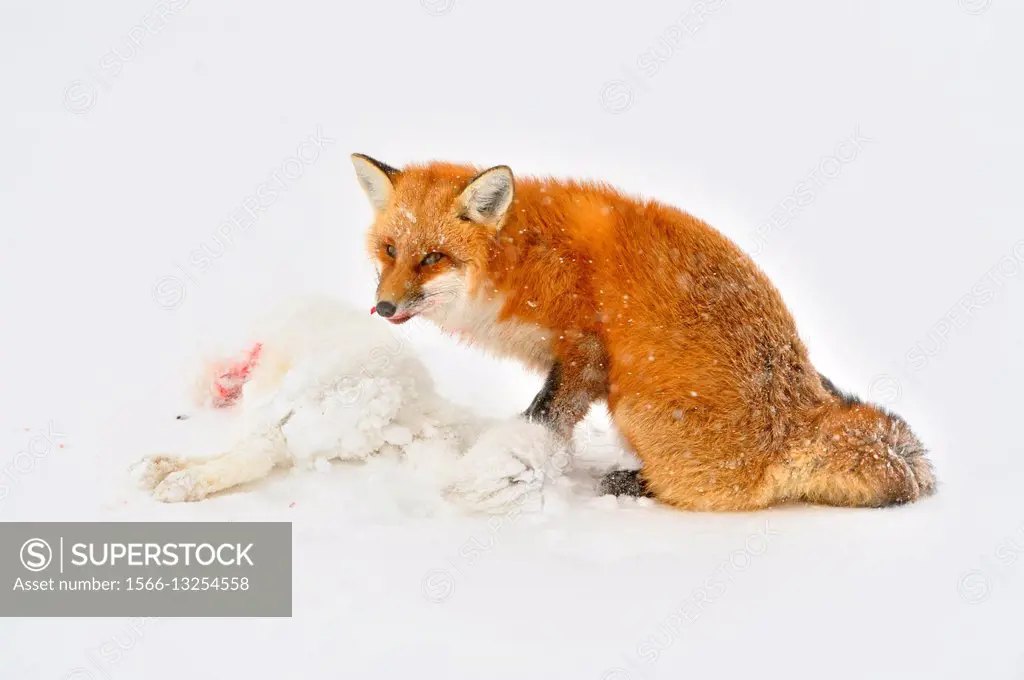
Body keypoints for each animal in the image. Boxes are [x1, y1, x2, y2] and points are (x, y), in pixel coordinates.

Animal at [352, 156, 937, 510]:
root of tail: (801, 419)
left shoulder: (586, 353)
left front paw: (496, 471)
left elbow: (544, 418)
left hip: (632, 399)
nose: (383, 306)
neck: (520, 259)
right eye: (390, 251)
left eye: (433, 258)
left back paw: (632, 485)